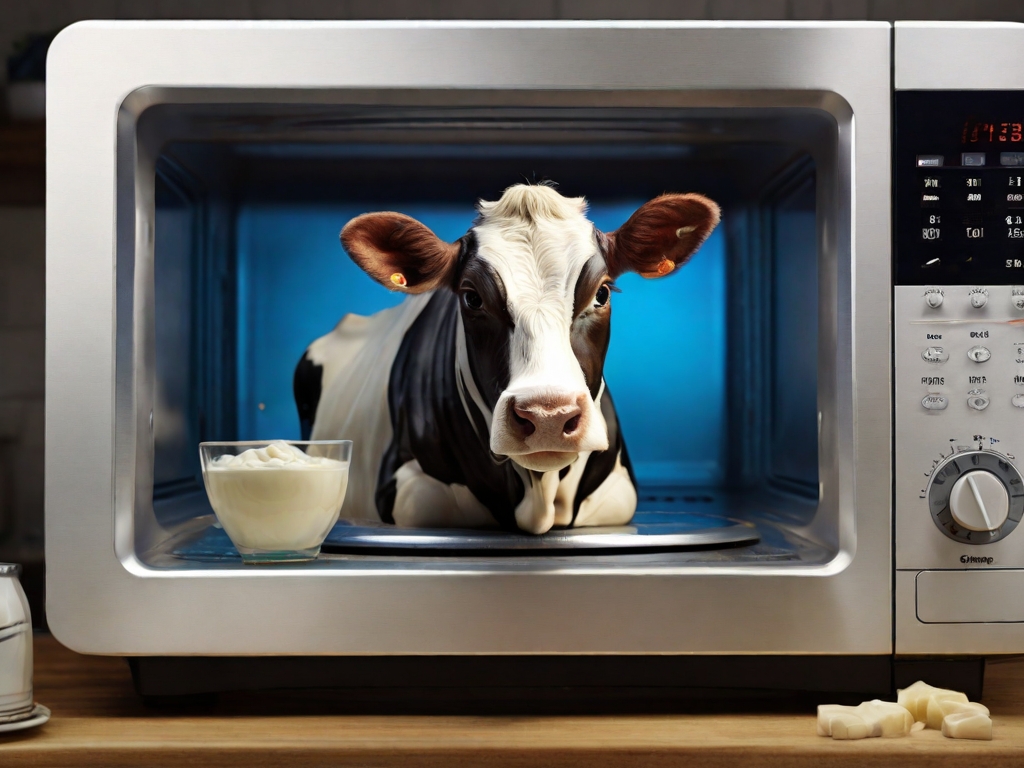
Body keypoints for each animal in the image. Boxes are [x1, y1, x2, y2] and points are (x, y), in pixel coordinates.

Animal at [294, 184, 720, 534]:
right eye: (471, 297)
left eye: (602, 293)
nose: (549, 416)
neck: (538, 496)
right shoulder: (406, 486)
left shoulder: (620, 493)